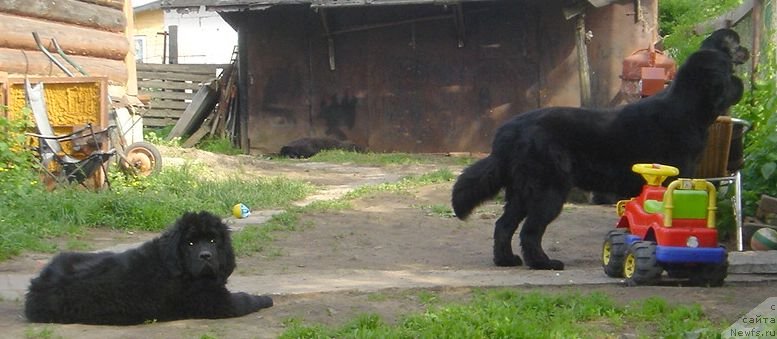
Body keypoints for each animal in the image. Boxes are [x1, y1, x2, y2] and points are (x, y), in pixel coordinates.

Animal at [25, 211, 272, 326]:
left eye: (212, 241)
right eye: (191, 243)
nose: (206, 256)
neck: (175, 263)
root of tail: (36, 286)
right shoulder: (219, 303)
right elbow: (245, 299)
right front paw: (266, 298)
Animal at [452, 29, 748, 274]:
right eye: (728, 71)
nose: (741, 80)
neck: (687, 108)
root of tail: (509, 129)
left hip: (522, 191)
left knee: (504, 225)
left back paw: (506, 260)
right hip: (547, 190)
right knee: (530, 231)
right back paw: (543, 263)